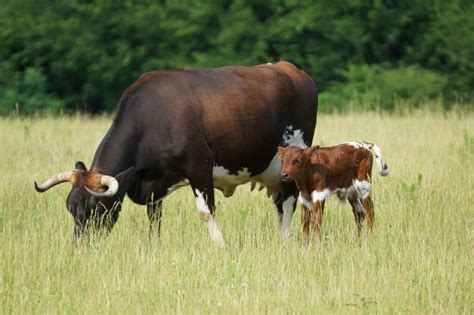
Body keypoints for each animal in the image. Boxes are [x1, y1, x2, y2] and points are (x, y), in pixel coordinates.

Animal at [34, 60, 318, 246]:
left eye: (96, 207)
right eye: (71, 207)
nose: (78, 246)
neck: (152, 120)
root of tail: (289, 68)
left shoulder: (200, 167)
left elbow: (206, 211)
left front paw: (220, 246)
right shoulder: (152, 183)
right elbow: (154, 216)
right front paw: (154, 245)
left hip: (290, 164)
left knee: (289, 201)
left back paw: (284, 240)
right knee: (280, 204)